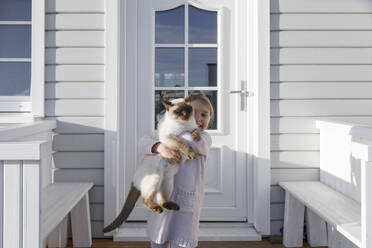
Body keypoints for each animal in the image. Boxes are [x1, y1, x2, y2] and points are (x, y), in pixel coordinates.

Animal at [101, 95, 201, 232]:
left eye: (188, 109)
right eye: (178, 112)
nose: (185, 115)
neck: (184, 126)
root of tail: (134, 178)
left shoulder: (192, 127)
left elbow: (197, 130)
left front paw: (196, 136)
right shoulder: (168, 137)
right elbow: (182, 144)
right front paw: (191, 153)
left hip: (167, 182)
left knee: (162, 200)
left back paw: (171, 206)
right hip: (155, 178)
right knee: (146, 200)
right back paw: (157, 209)